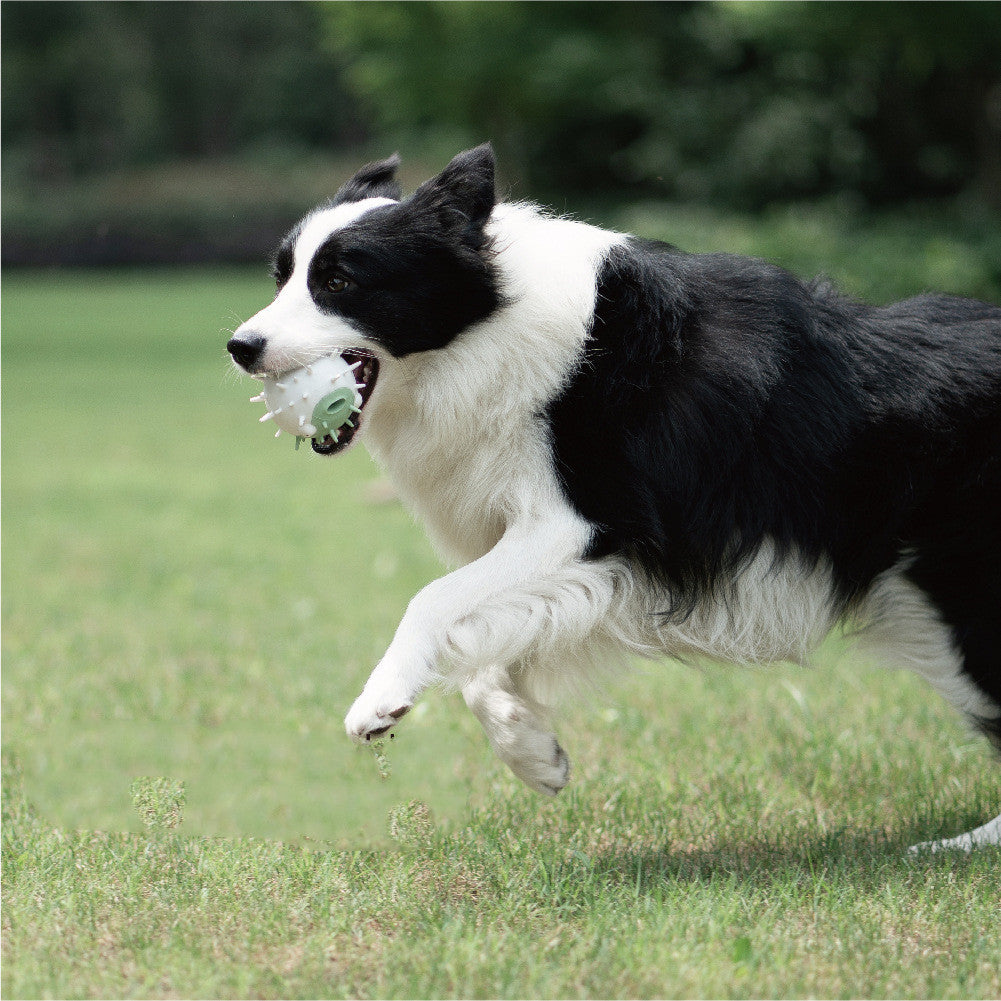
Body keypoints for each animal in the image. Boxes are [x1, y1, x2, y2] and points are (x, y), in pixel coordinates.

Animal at [229, 145, 1001, 848]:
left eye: (339, 280)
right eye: (282, 276)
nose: (240, 345)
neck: (491, 329)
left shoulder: (582, 524)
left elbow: (434, 599)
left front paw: (380, 702)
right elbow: (479, 648)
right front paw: (533, 753)